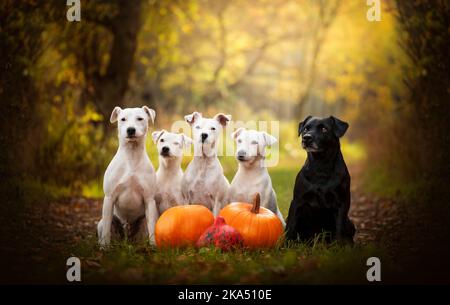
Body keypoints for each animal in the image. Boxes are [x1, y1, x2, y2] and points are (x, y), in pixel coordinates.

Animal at [96, 105, 158, 246]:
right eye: (122, 119)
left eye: (140, 118)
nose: (130, 130)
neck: (132, 155)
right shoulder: (109, 198)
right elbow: (107, 228)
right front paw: (105, 247)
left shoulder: (149, 199)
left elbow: (152, 226)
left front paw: (154, 247)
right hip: (103, 223)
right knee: (105, 227)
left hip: (142, 222)